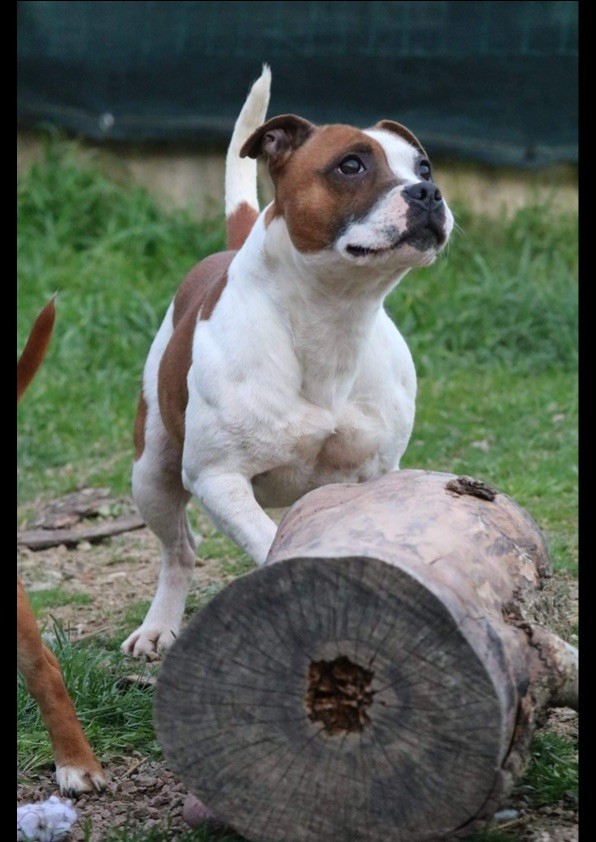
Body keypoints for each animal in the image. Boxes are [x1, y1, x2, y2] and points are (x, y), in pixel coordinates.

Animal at [123, 67, 454, 656]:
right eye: (351, 164)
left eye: (423, 167)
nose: (429, 192)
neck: (332, 317)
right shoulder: (219, 478)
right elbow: (274, 542)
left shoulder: (376, 476)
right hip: (152, 473)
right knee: (179, 550)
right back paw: (159, 625)